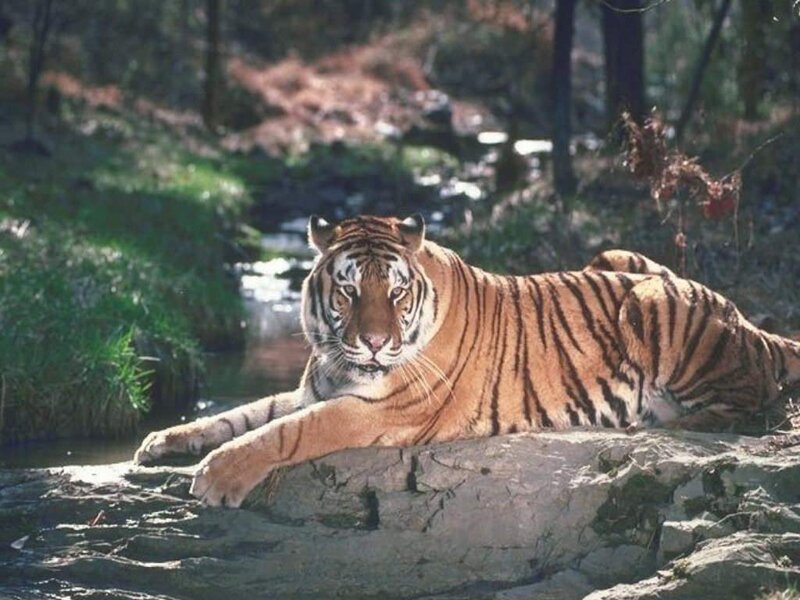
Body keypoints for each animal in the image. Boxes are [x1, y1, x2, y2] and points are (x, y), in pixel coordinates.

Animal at [134, 214, 800, 507]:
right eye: (348, 291)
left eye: (394, 293)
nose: (373, 343)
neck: (342, 358)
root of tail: (747, 317)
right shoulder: (312, 387)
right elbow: (242, 413)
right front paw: (163, 439)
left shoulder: (376, 411)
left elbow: (285, 433)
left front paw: (216, 477)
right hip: (623, 260)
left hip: (654, 302)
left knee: (752, 404)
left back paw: (658, 421)